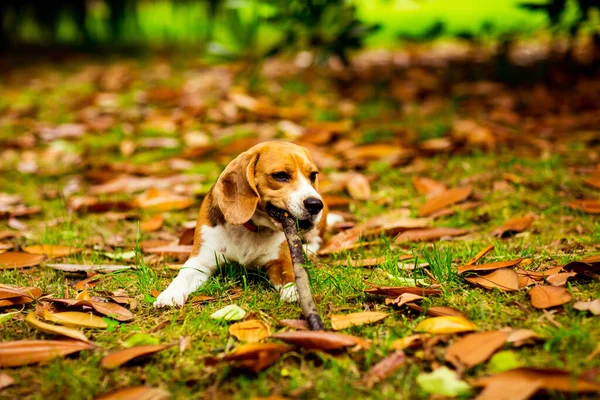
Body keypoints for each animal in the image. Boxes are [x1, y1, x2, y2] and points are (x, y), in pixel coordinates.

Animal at [152, 141, 326, 306]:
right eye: (280, 175)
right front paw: (170, 294)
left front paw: (295, 291)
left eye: (313, 176)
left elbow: (291, 274)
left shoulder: (281, 260)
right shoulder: (200, 261)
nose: (315, 204)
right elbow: (184, 275)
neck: (252, 228)